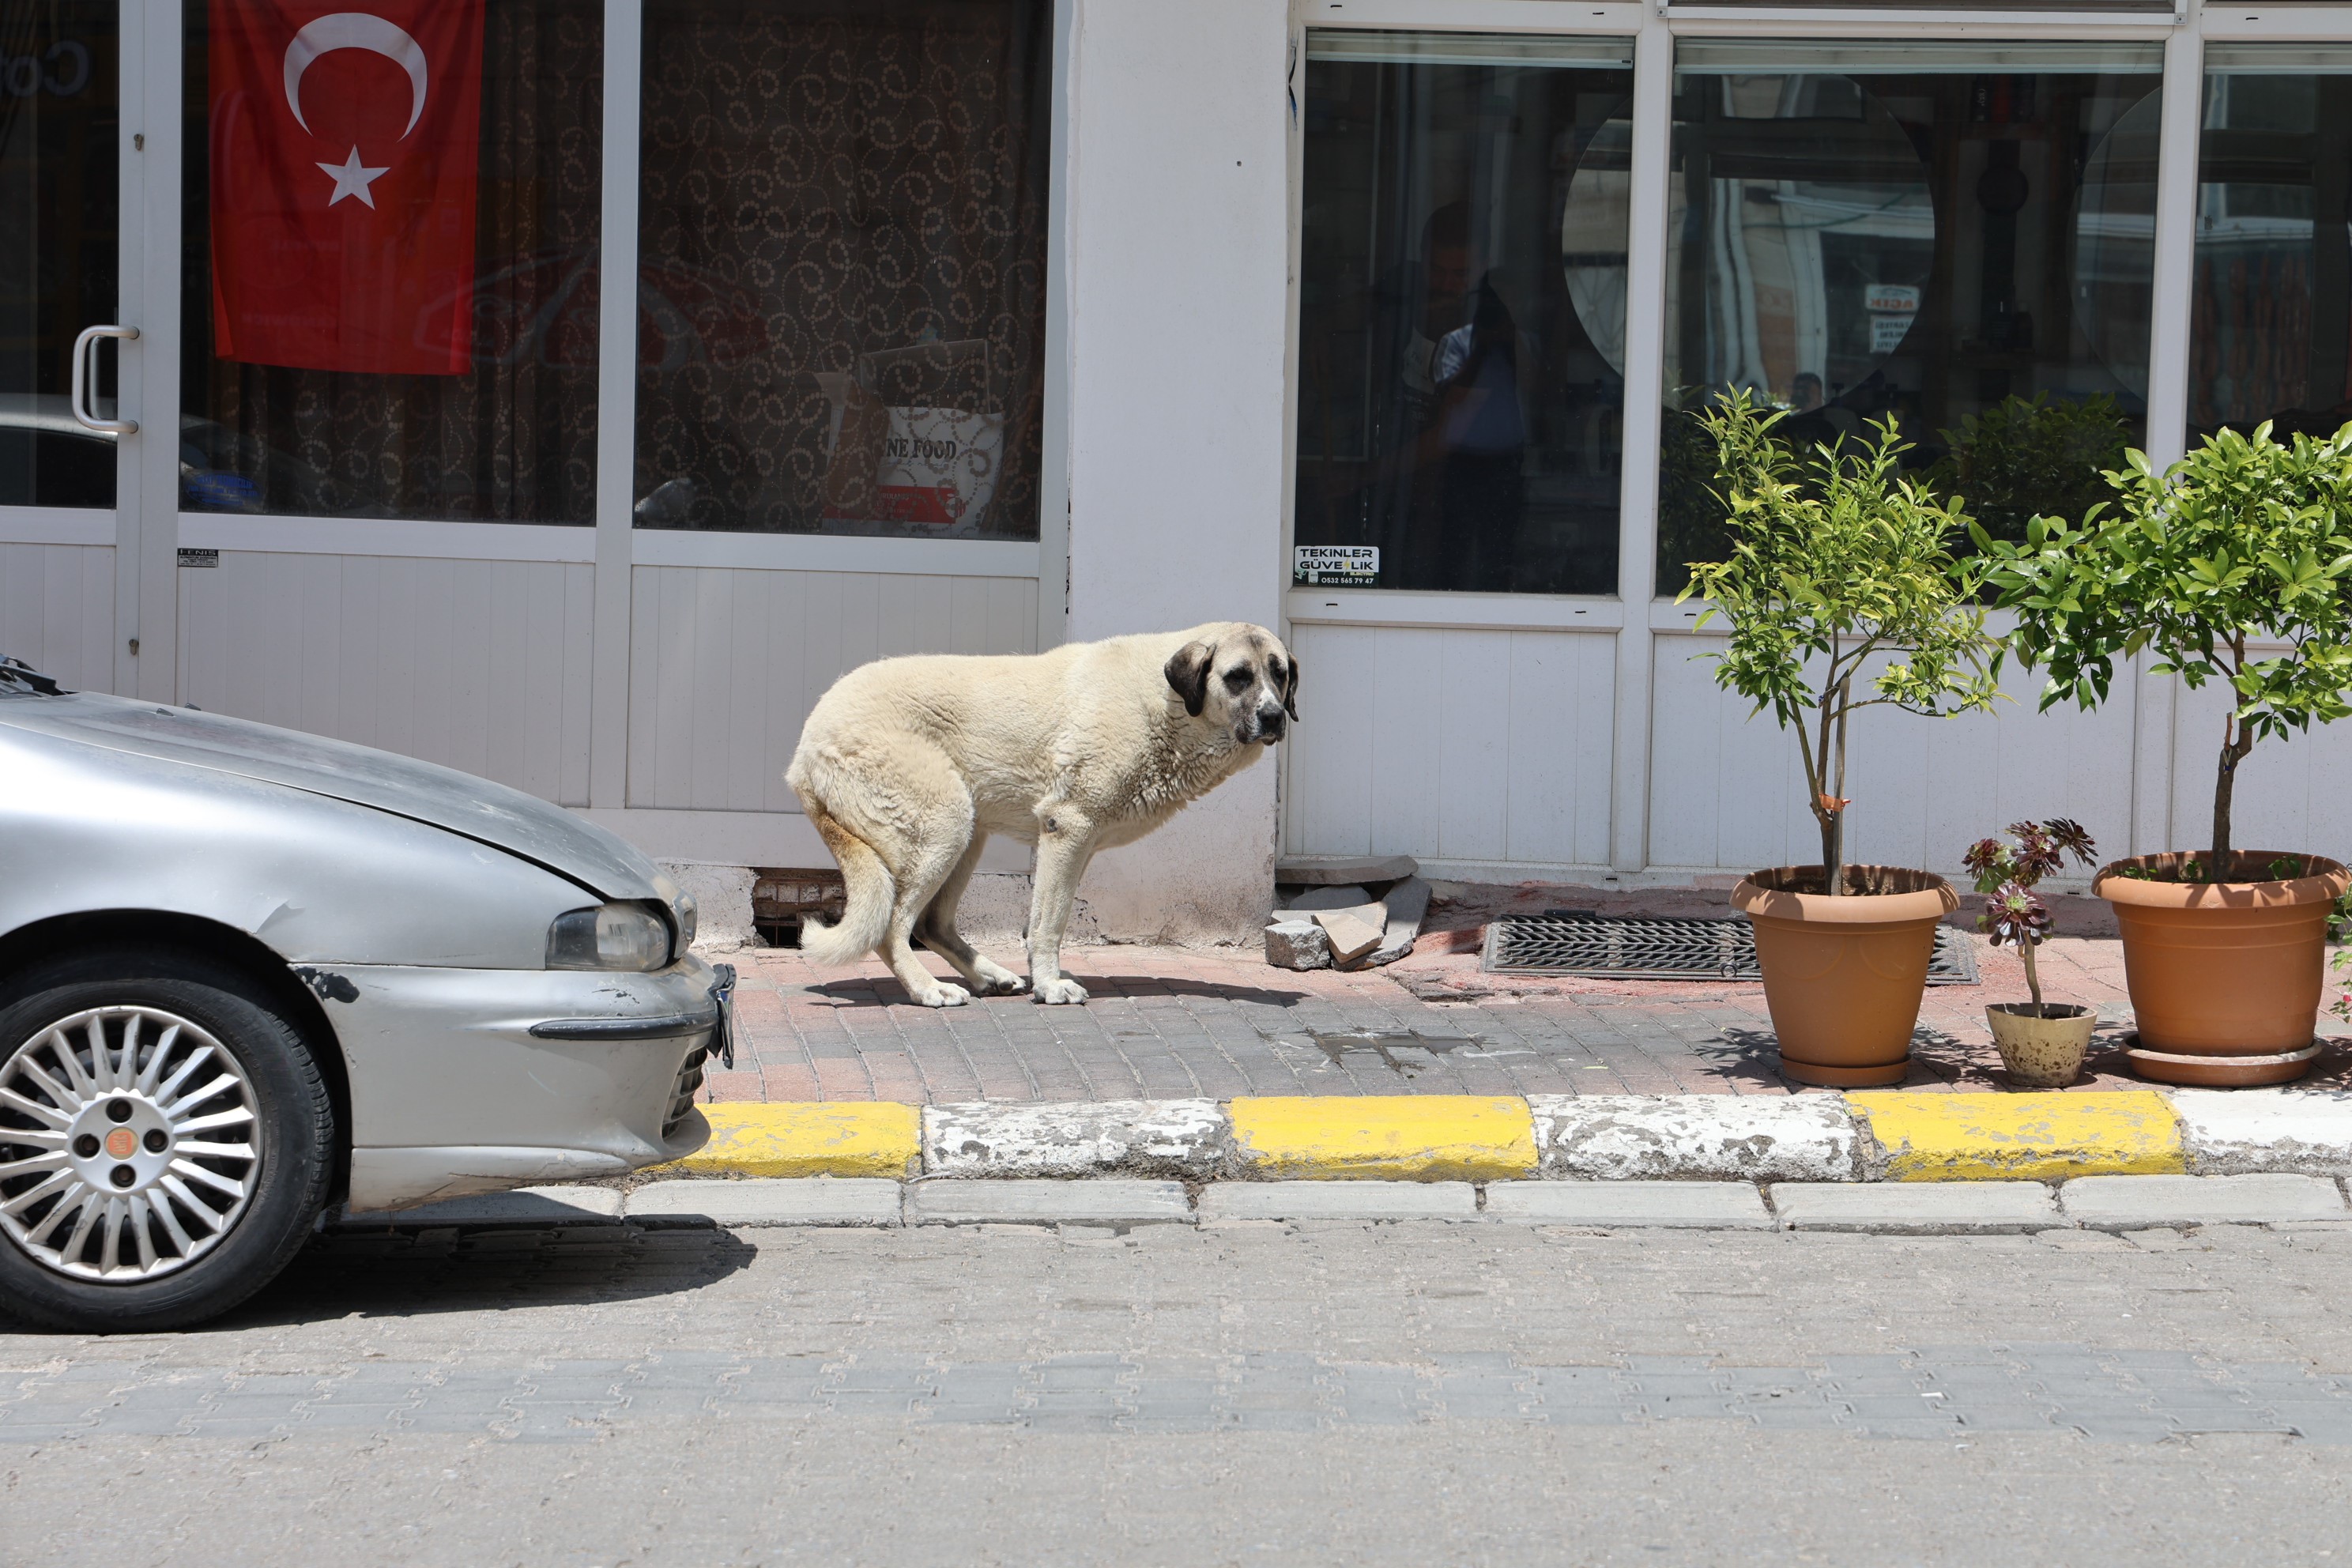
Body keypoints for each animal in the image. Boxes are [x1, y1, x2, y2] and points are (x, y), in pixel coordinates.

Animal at [790, 620, 1307, 1006]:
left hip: (967, 834)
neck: (1169, 705)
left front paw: (1040, 982)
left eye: (1279, 674)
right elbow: (1051, 922)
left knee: (930, 923)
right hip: (944, 827)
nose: (1274, 717)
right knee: (892, 927)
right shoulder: (1069, 829)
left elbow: (1040, 918)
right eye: (1237, 676)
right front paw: (1053, 986)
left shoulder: (1067, 842)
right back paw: (928, 989)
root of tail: (807, 744)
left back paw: (989, 977)